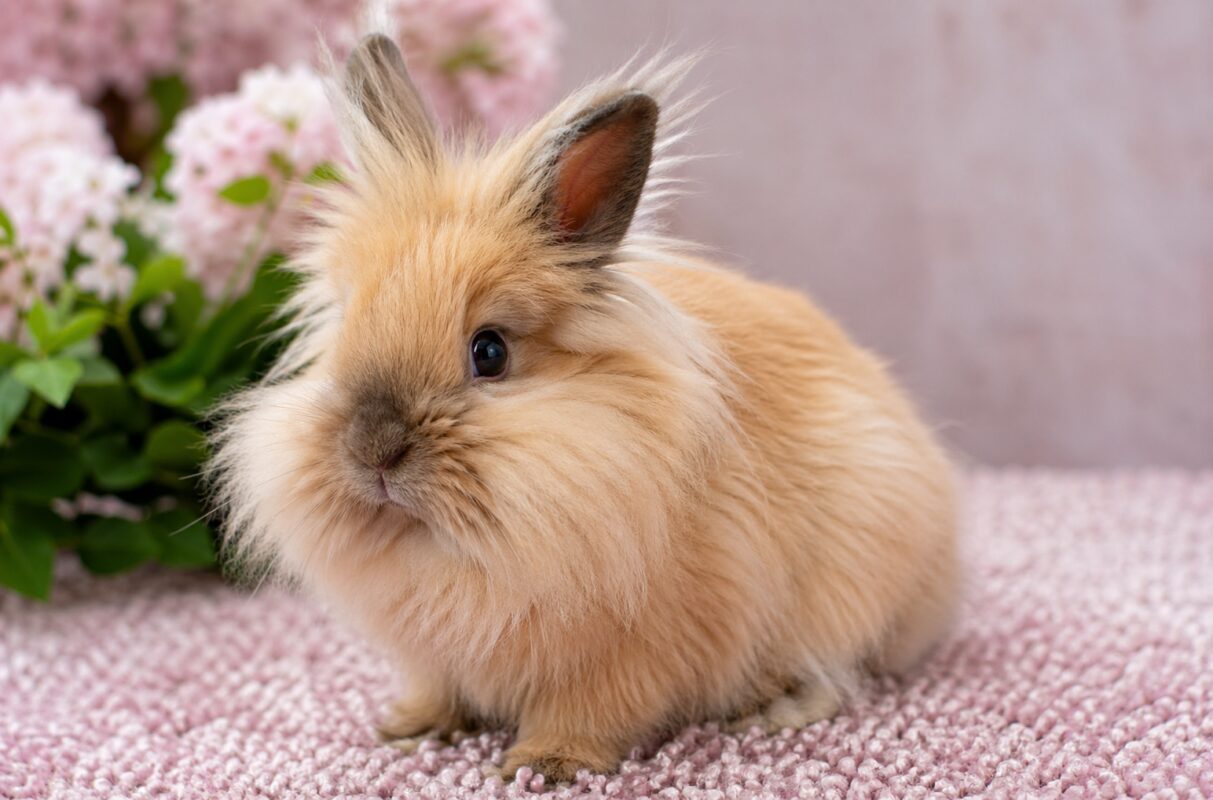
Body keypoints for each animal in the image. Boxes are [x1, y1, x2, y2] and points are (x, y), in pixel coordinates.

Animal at [209, 31, 958, 784]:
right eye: (345, 326)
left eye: (489, 352)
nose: (373, 450)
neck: (457, 550)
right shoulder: (433, 654)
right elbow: (438, 689)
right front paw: (410, 729)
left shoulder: (632, 654)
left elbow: (589, 711)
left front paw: (545, 764)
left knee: (839, 672)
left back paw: (771, 708)